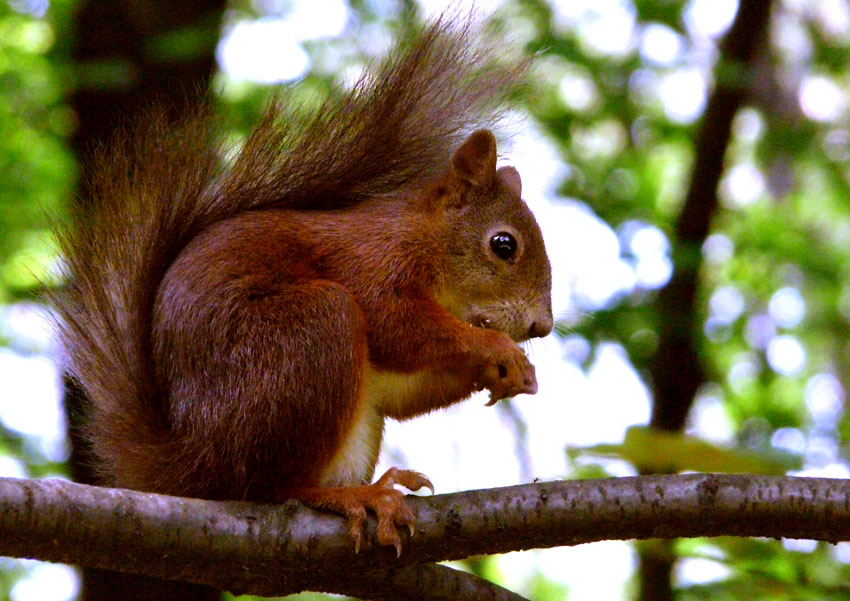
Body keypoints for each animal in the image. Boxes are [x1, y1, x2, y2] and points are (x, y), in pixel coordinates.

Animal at [56, 17, 552, 552]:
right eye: (503, 245)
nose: (542, 326)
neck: (426, 240)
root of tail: (196, 466)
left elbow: (404, 392)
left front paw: (515, 374)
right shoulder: (370, 263)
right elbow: (395, 325)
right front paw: (495, 349)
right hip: (307, 336)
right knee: (273, 486)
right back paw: (355, 496)